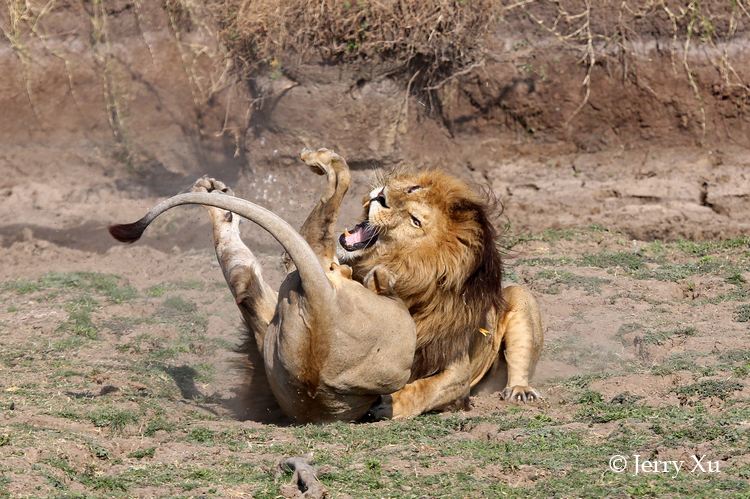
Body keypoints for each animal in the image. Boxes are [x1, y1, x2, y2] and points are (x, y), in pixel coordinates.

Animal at [340, 168, 548, 418]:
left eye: (415, 220)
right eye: (413, 189)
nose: (381, 196)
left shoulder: (457, 367)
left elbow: (426, 389)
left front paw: (389, 403)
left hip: (520, 295)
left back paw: (519, 391)